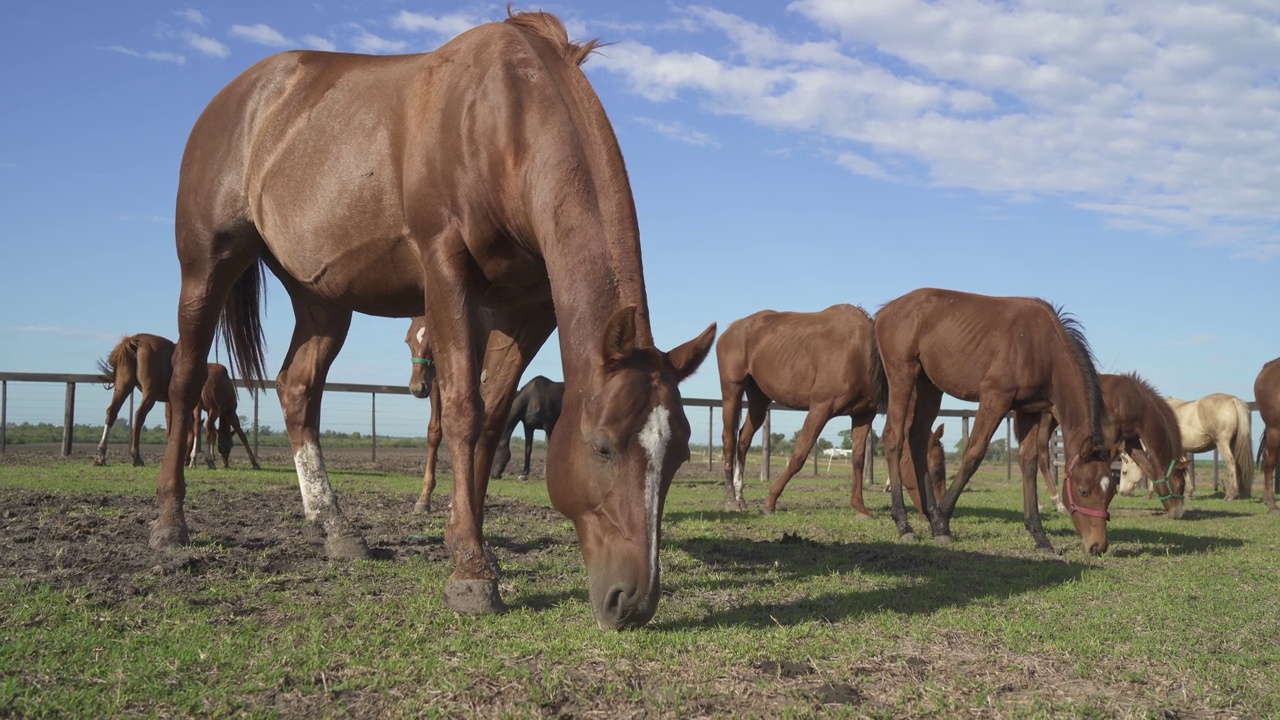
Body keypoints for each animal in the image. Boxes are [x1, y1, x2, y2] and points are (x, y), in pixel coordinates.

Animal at [96, 333, 177, 466]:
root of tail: (134, 341)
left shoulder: (171, 403)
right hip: (149, 393)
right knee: (139, 415)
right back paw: (136, 457)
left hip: (123, 387)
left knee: (112, 412)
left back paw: (101, 455)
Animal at [156, 12, 716, 627]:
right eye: (602, 447)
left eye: (680, 454)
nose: (633, 602)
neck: (503, 117)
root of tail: (238, 95)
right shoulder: (445, 270)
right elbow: (464, 414)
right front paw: (470, 572)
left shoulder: (527, 309)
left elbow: (491, 419)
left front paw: (470, 546)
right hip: (206, 267)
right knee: (185, 380)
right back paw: (170, 525)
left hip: (322, 299)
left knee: (297, 388)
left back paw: (334, 527)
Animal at [716, 302, 896, 515]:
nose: (888, 487)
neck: (861, 353)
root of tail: (730, 330)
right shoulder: (821, 408)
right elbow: (799, 456)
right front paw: (770, 502)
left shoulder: (863, 414)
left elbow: (858, 460)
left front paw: (860, 507)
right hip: (732, 390)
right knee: (729, 440)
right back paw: (730, 500)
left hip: (759, 399)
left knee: (743, 440)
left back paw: (740, 497)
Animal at [875, 286, 1116, 556]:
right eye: (1083, 490)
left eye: (1111, 492)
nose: (1098, 546)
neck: (1042, 345)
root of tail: (886, 310)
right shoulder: (995, 398)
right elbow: (973, 454)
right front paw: (943, 523)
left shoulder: (1029, 411)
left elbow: (1029, 462)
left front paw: (1040, 536)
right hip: (902, 376)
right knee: (894, 437)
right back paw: (905, 524)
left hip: (929, 386)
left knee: (917, 439)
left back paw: (930, 513)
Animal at [1034, 371, 1182, 517]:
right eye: (1180, 484)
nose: (1178, 512)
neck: (1130, 400)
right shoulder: (1108, 438)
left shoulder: (1131, 441)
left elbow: (1148, 467)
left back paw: (1048, 505)